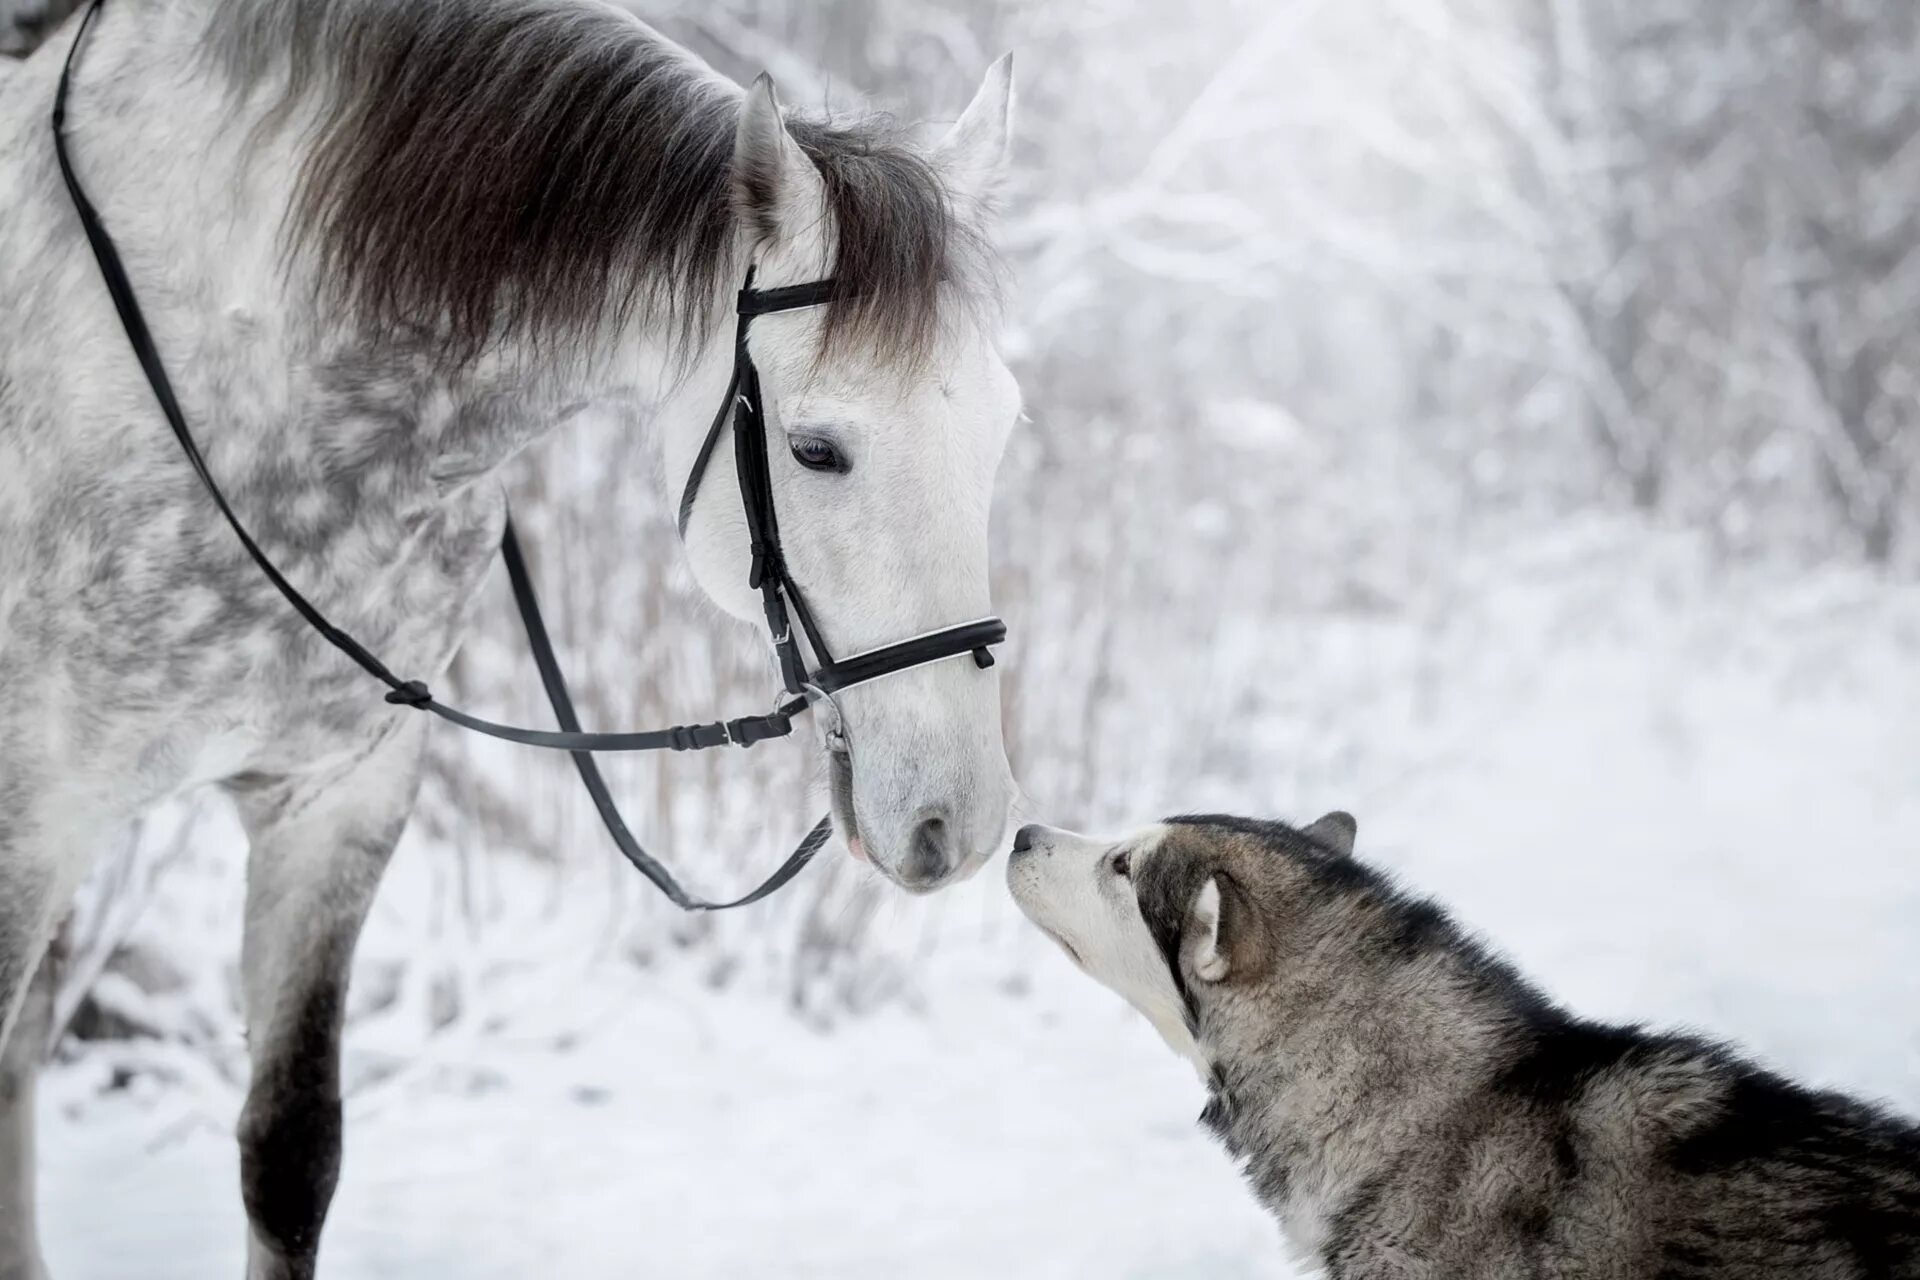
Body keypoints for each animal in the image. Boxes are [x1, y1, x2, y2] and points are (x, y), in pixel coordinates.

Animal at [0, 5, 1021, 1274]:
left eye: (1003, 427)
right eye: (817, 449)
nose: (958, 821)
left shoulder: (334, 804)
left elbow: (290, 1155)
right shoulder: (32, 821)